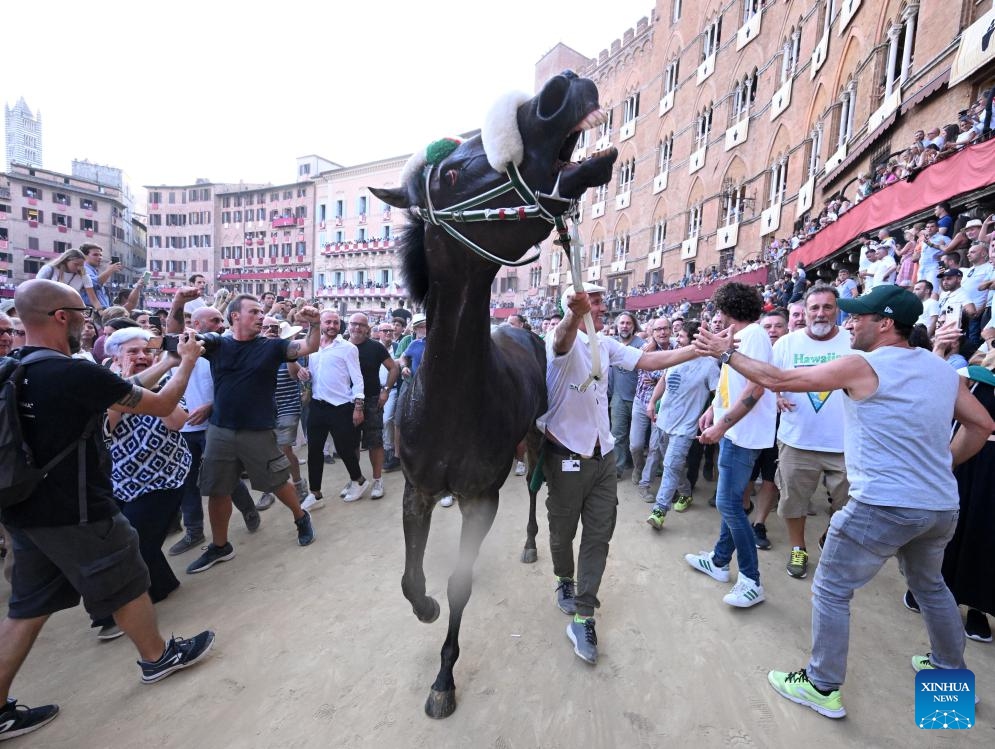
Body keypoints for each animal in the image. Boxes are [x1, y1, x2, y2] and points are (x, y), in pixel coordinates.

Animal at [372, 71, 616, 720]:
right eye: (452, 175)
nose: (561, 89)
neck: (450, 400)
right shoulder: (417, 488)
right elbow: (411, 580)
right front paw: (426, 609)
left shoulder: (482, 494)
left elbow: (459, 584)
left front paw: (444, 677)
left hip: (533, 440)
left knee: (534, 493)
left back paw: (532, 545)